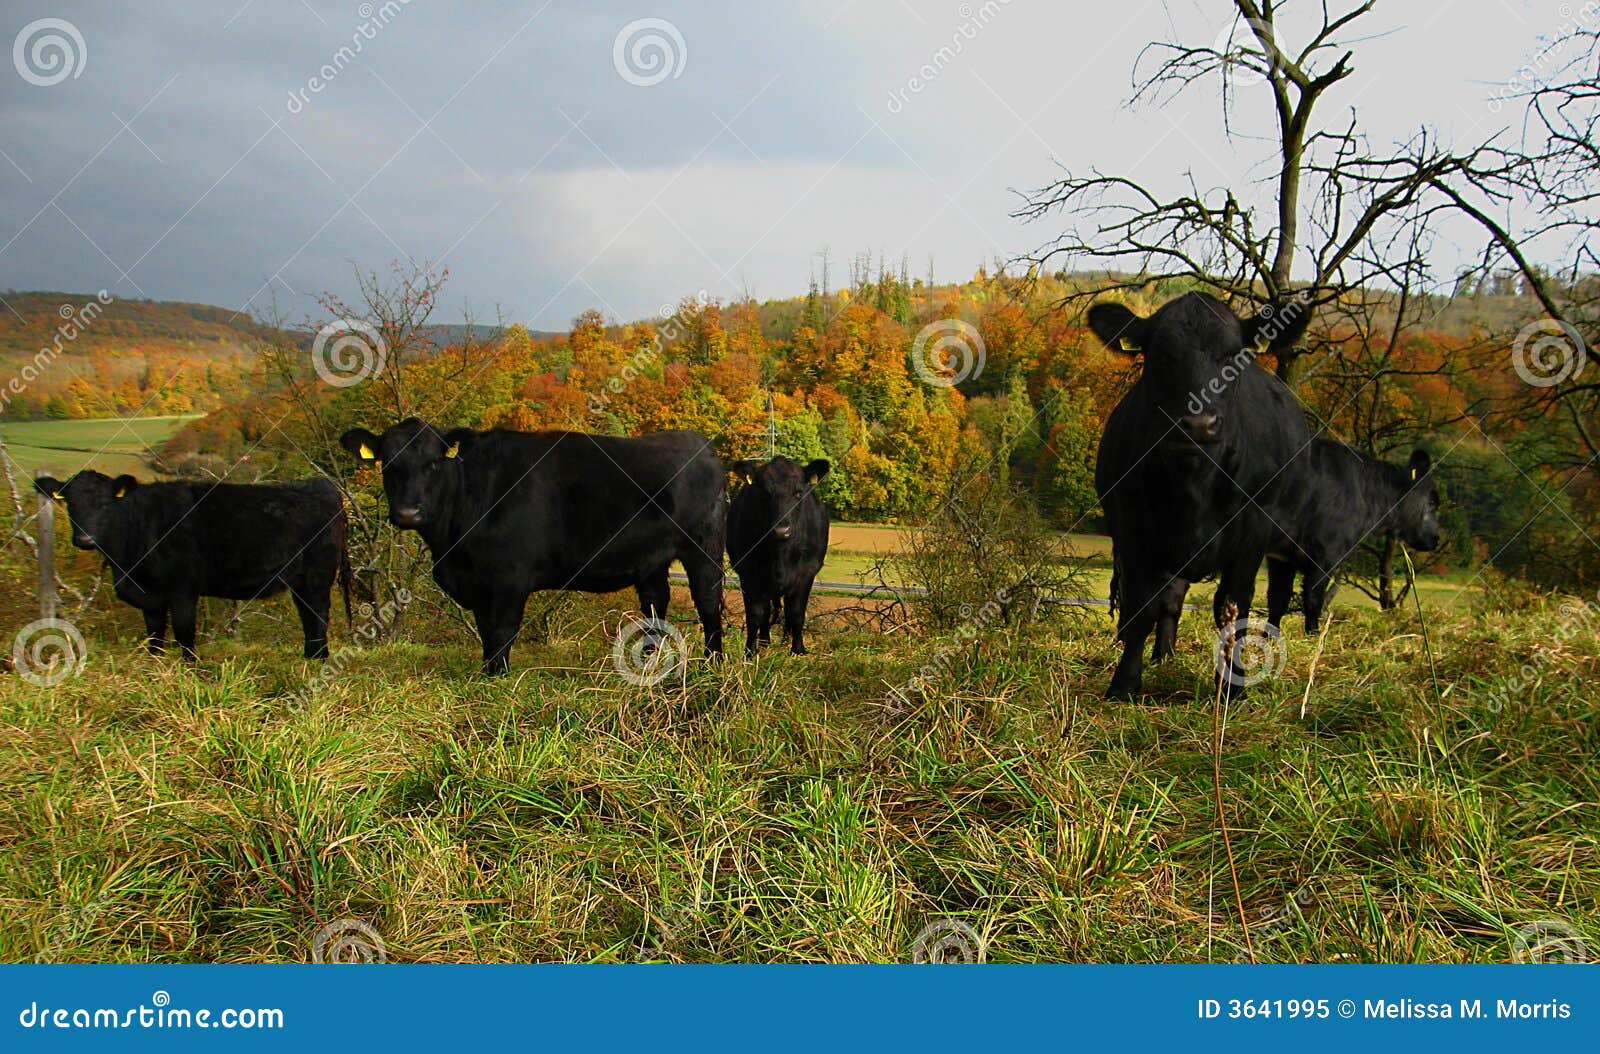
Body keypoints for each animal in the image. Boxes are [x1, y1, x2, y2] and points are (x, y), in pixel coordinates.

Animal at [32, 473, 352, 658]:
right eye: (70, 503)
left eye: (105, 504)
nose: (84, 539)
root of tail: (321, 485)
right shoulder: (150, 594)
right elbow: (155, 632)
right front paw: (155, 664)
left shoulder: (182, 587)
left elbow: (184, 631)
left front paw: (191, 669)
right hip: (301, 580)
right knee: (308, 615)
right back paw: (310, 655)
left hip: (317, 576)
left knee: (318, 614)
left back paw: (318, 658)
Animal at [344, 415, 732, 671]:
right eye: (388, 465)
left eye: (433, 464)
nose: (408, 513)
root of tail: (702, 445)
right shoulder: (479, 583)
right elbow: (486, 632)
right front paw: (486, 673)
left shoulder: (510, 577)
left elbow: (502, 630)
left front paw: (498, 678)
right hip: (651, 558)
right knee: (655, 602)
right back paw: (648, 662)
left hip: (704, 547)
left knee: (707, 602)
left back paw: (712, 663)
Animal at [729, 457, 832, 655]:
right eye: (765, 492)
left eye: (798, 493)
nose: (781, 530)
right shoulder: (748, 573)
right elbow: (754, 614)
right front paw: (750, 651)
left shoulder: (806, 574)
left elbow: (797, 613)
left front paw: (798, 649)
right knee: (767, 611)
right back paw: (764, 642)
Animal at [1088, 292, 1312, 700]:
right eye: (1160, 354)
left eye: (1234, 355)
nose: (1196, 423)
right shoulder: (1133, 527)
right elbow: (1141, 608)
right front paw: (1124, 684)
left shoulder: (1252, 533)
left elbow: (1233, 607)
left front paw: (1232, 687)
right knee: (1168, 600)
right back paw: (1164, 655)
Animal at [1267, 438, 1446, 630]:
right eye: (1432, 501)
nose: (1436, 539)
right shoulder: (1325, 555)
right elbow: (1312, 601)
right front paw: (1315, 636)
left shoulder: (1282, 558)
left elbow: (1278, 600)